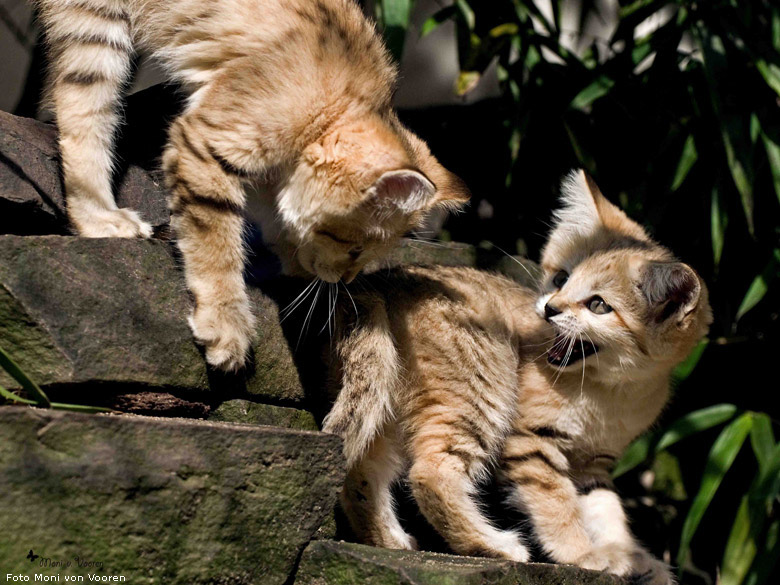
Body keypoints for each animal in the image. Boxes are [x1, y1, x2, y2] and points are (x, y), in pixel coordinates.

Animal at [33, 0, 466, 370]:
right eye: (356, 248)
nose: (346, 281)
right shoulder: (207, 142)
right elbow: (216, 243)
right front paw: (226, 326)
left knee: (78, 116)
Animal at [320, 168, 708, 580]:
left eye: (598, 305)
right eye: (561, 279)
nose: (550, 309)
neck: (611, 390)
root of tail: (382, 280)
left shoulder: (594, 463)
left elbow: (607, 511)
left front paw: (631, 559)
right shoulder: (532, 440)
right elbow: (556, 502)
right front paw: (583, 555)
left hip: (383, 402)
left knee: (363, 471)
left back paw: (388, 538)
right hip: (483, 386)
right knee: (430, 473)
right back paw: (492, 545)